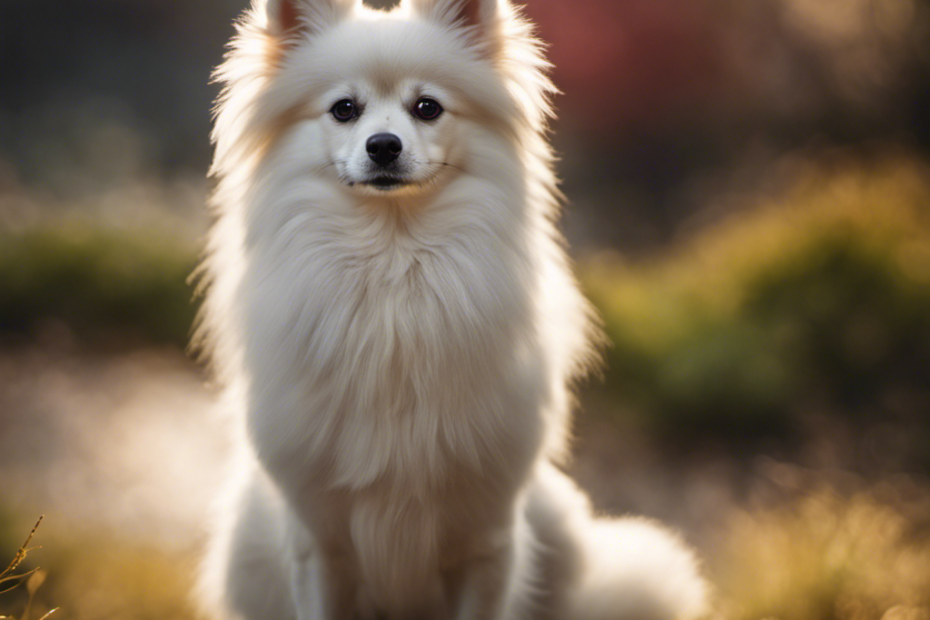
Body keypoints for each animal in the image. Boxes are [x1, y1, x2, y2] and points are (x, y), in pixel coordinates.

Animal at [194, 1, 704, 620]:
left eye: (428, 107)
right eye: (344, 109)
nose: (383, 145)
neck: (392, 266)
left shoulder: (487, 538)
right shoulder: (320, 543)